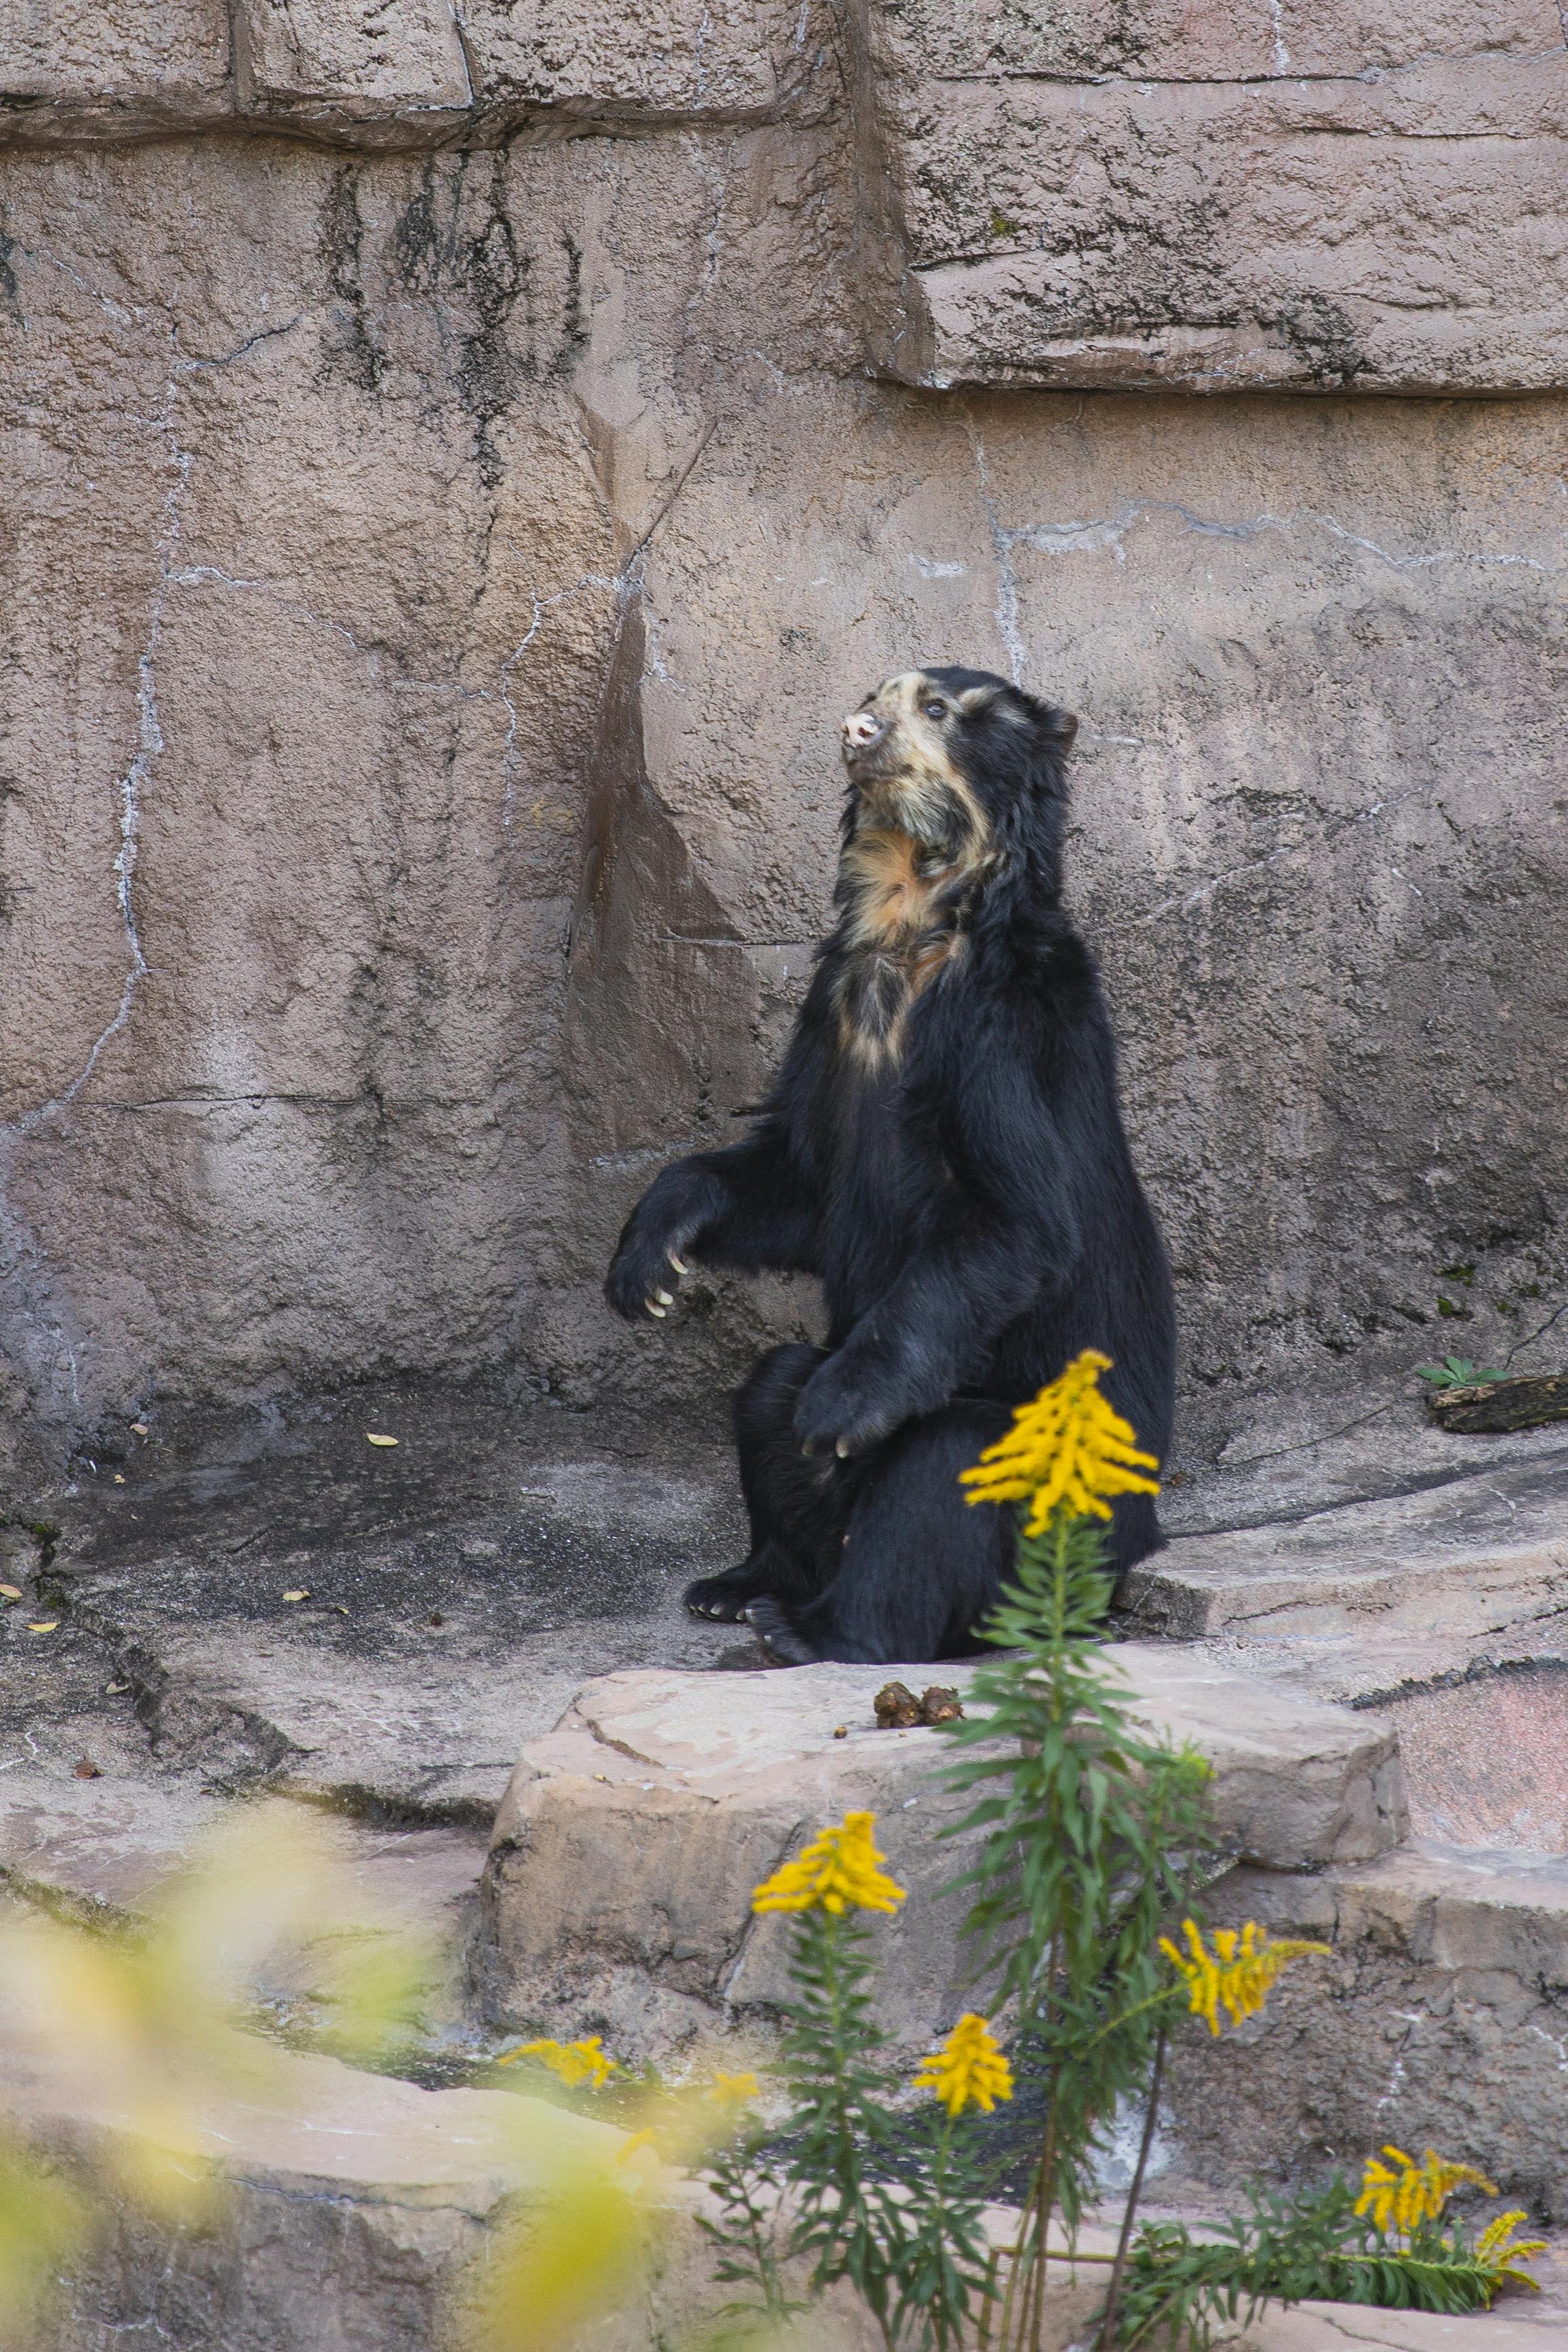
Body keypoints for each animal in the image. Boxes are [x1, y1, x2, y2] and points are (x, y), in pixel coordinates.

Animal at [606, 668, 1170, 1674]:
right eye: (876, 691)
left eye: (936, 708)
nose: (854, 727)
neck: (916, 916)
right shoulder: (831, 1010)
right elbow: (797, 1180)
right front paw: (649, 1266)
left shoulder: (998, 1035)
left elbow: (1018, 1222)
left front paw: (842, 1407)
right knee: (769, 1398)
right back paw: (740, 1584)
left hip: (1061, 1488)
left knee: (936, 1469)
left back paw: (814, 1623)